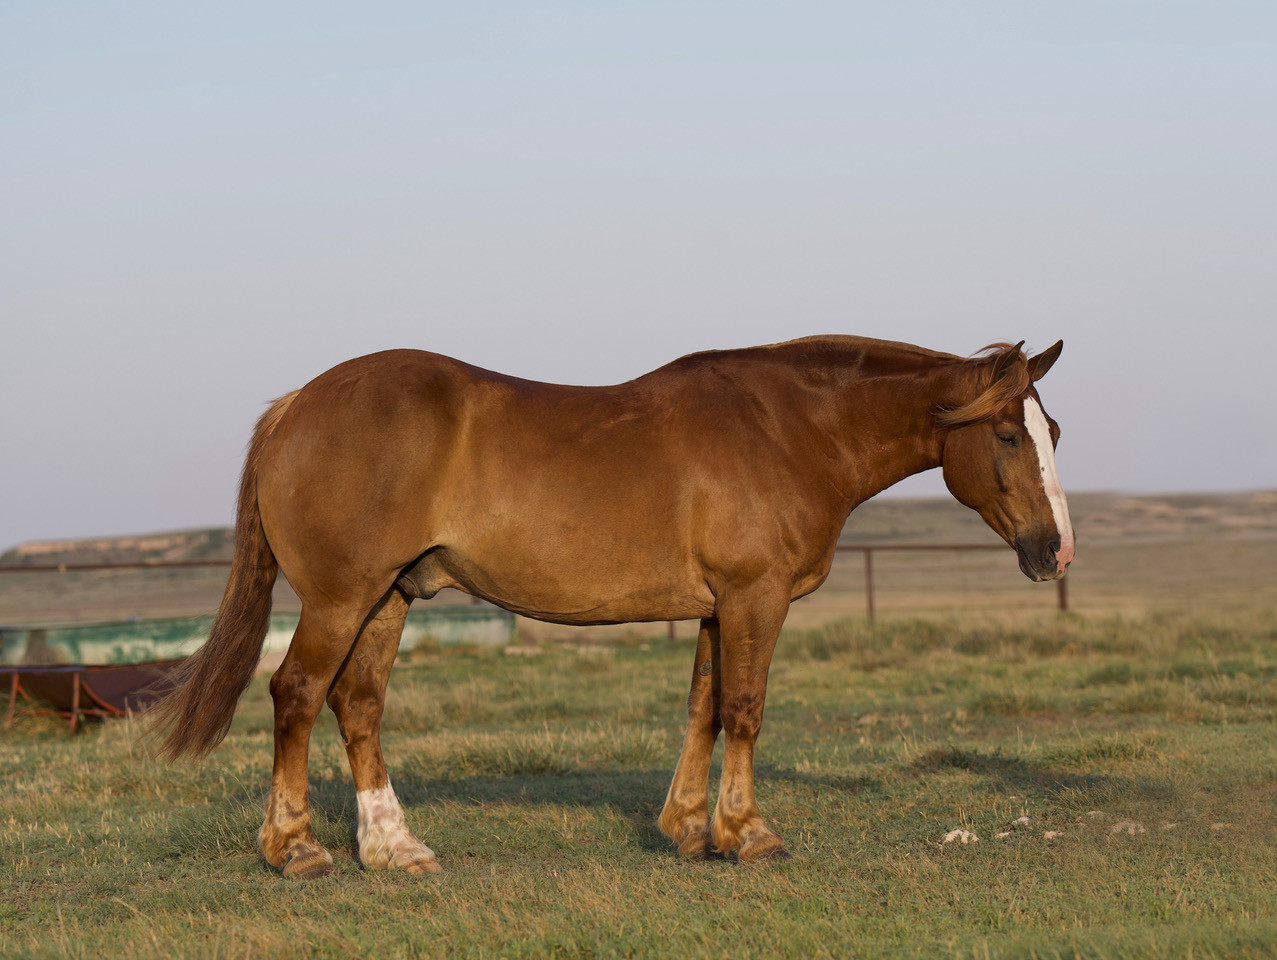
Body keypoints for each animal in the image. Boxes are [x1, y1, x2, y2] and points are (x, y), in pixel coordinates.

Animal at [144, 334, 1072, 878]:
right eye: (1006, 435)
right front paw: (748, 833)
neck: (787, 428)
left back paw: (393, 847)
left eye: (1052, 432)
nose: (1056, 550)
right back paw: (296, 848)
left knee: (358, 703)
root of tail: (294, 405)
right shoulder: (755, 597)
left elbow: (702, 706)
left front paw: (691, 828)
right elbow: (743, 707)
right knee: (297, 696)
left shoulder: (715, 605)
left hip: (389, 597)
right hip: (342, 598)